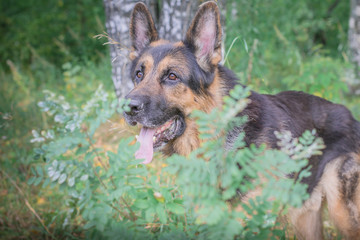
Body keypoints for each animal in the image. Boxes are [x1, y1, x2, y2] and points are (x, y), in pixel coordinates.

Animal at [124, 0, 360, 239]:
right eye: (139, 74)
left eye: (172, 76)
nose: (128, 107)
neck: (216, 141)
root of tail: (352, 118)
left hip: (343, 215)